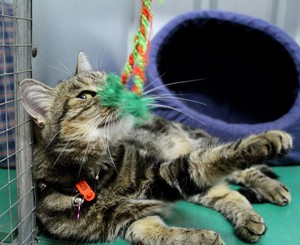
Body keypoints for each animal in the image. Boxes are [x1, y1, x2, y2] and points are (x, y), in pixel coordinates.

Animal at [18, 52, 290, 244]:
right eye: (84, 96)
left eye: (111, 83)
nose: (122, 93)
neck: (95, 178)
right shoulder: (134, 217)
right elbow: (159, 235)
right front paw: (202, 238)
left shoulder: (164, 173)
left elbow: (217, 157)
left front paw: (266, 139)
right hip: (198, 189)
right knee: (229, 193)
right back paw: (249, 217)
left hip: (194, 145)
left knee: (238, 169)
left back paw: (273, 188)